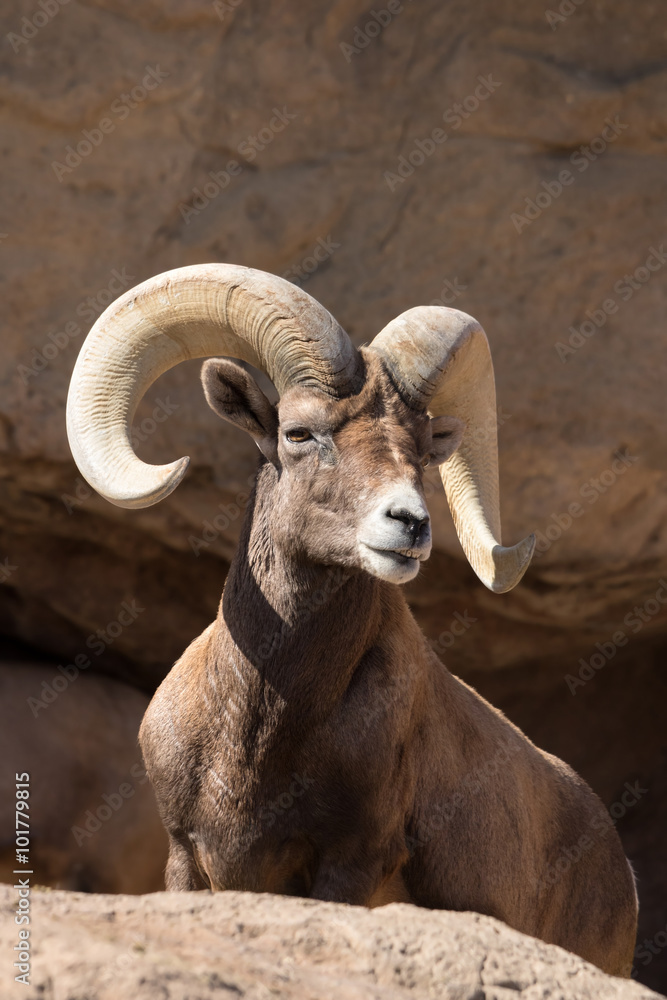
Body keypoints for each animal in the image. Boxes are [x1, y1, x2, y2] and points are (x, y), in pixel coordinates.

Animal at [66, 263, 638, 977]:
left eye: (421, 450)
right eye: (298, 433)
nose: (410, 525)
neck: (264, 726)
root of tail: (619, 866)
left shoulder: (349, 865)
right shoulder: (186, 860)